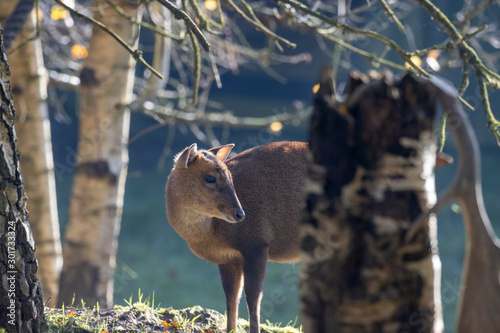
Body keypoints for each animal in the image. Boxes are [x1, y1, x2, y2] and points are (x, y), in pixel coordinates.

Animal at [166, 141, 306, 332]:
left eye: (230, 177)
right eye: (210, 178)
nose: (240, 214)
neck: (211, 234)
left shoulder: (257, 244)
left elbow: (253, 299)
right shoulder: (228, 258)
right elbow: (231, 298)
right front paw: (230, 329)